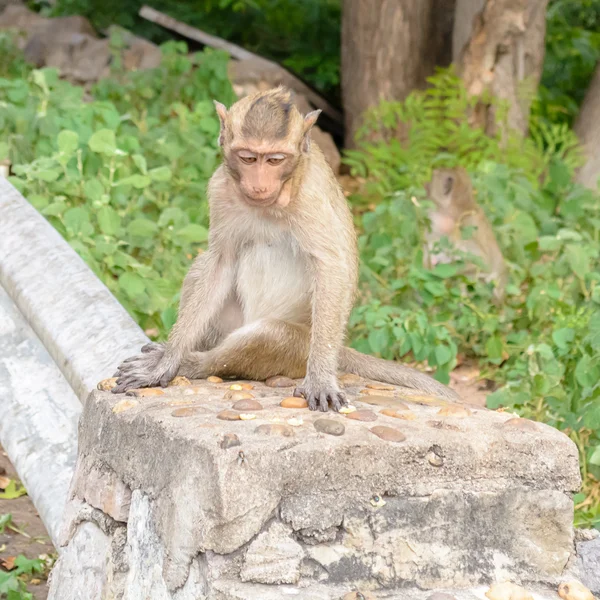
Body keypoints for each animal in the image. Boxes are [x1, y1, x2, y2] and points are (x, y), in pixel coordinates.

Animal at [112, 86, 460, 410]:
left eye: (275, 159)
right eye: (248, 157)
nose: (259, 184)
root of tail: (339, 350)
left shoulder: (310, 197)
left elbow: (330, 267)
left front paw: (320, 379)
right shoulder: (219, 189)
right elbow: (220, 262)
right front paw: (167, 360)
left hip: (300, 348)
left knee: (270, 335)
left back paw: (196, 363)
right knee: (201, 267)